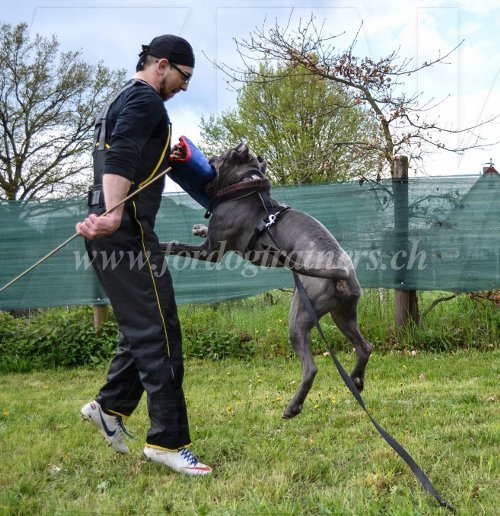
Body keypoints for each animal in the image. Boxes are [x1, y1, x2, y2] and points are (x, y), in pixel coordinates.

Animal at [162, 143, 374, 418]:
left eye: (220, 156)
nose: (207, 157)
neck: (245, 185)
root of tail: (343, 273)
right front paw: (198, 227)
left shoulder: (211, 251)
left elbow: (177, 245)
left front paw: (157, 245)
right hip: (344, 314)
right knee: (364, 347)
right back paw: (356, 381)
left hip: (300, 315)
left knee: (311, 367)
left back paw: (293, 407)